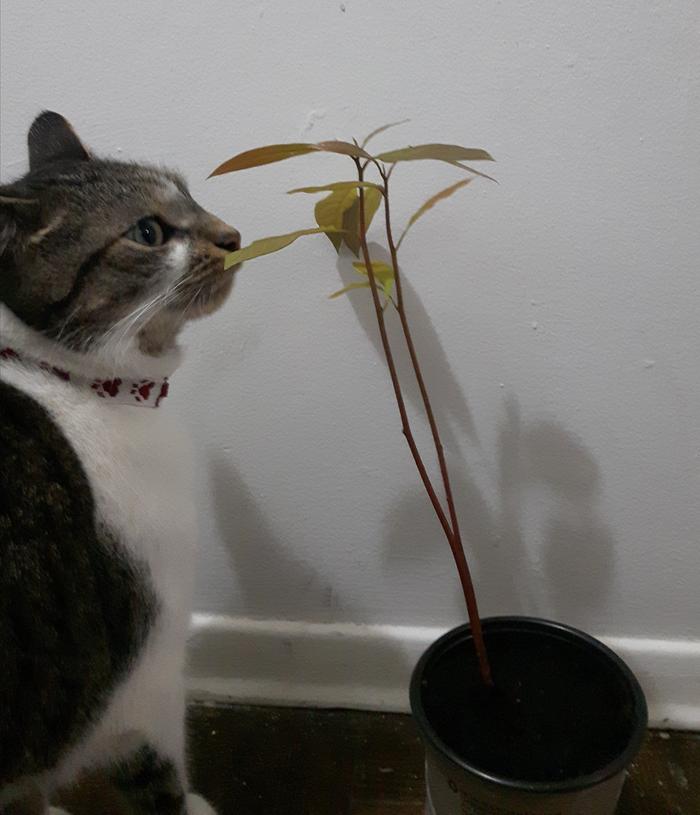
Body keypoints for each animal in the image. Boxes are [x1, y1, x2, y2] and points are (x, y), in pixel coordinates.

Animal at [0, 113, 241, 815]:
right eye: (148, 233)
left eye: (189, 194)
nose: (233, 236)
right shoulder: (146, 677)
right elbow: (158, 775)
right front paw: (194, 806)